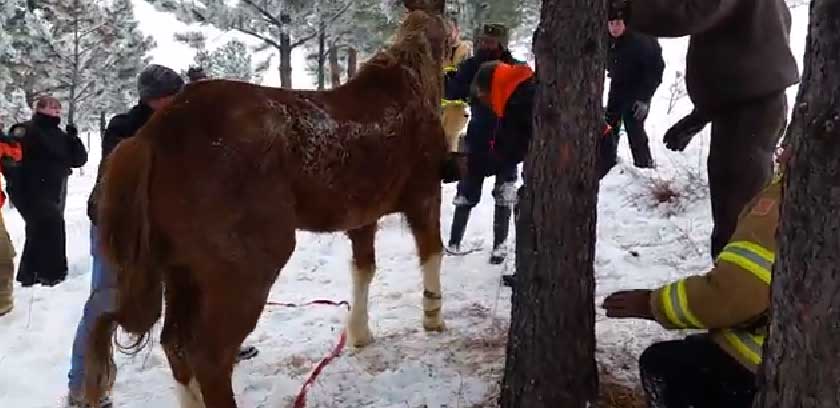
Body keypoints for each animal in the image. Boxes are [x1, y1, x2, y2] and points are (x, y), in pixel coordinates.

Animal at [83, 1, 452, 406]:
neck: (408, 86)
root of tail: (151, 136)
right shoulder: (425, 194)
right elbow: (432, 253)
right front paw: (434, 318)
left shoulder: (361, 217)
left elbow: (363, 271)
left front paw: (359, 333)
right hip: (246, 268)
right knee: (209, 356)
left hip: (181, 270)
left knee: (174, 345)